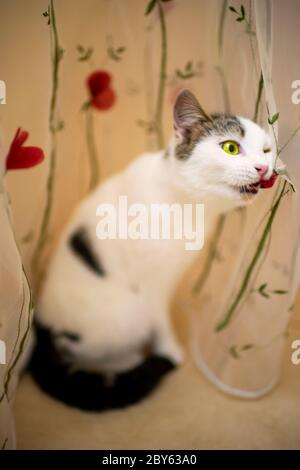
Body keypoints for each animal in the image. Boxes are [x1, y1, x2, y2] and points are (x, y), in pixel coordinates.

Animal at [29, 90, 276, 410]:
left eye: (267, 151)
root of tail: (41, 324)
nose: (264, 168)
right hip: (123, 314)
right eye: (231, 148)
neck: (187, 203)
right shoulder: (151, 284)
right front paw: (169, 350)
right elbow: (160, 318)